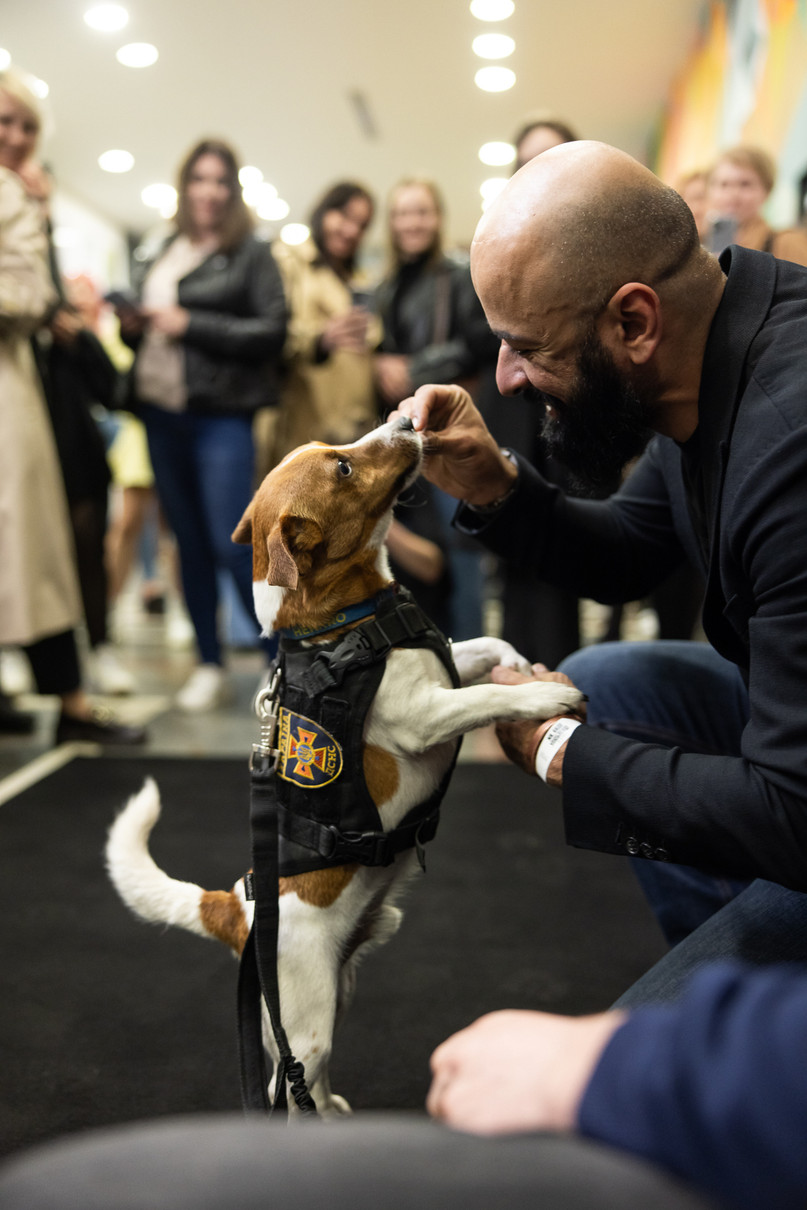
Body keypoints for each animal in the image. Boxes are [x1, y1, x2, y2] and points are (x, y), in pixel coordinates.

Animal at [108, 413, 588, 1113]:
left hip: (335, 994)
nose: (407, 418)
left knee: (312, 1081)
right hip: (305, 1024)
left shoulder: (445, 661)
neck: (343, 620)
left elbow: (484, 647)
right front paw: (542, 696)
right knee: (286, 1087)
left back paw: (333, 1110)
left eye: (332, 450)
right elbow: (484, 697)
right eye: (341, 467)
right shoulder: (424, 715)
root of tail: (235, 911)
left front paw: (522, 662)